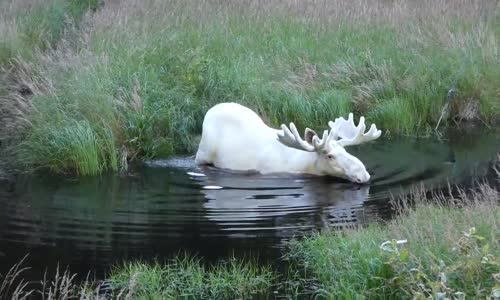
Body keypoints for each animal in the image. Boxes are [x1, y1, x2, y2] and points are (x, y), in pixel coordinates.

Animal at [193, 102, 380, 183]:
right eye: (329, 156)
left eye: (346, 151)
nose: (363, 174)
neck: (306, 165)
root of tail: (211, 109)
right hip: (202, 153)